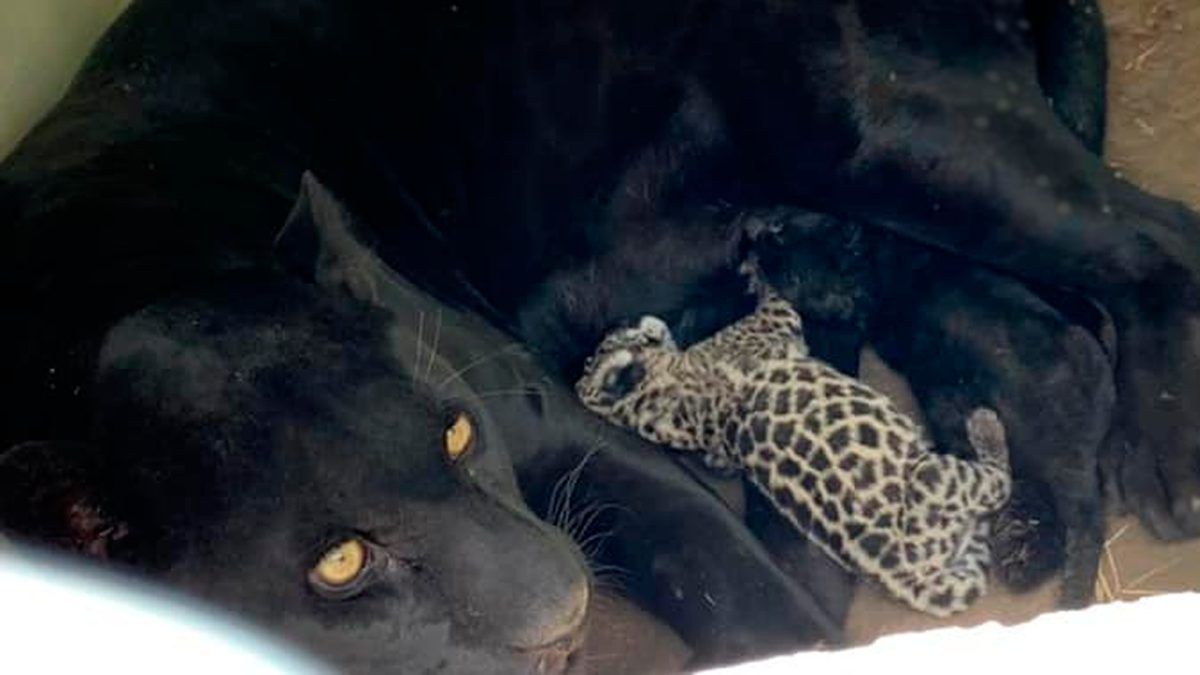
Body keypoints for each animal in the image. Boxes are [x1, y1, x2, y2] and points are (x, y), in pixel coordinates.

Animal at [576, 279, 1014, 617]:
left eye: (608, 334)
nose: (625, 317)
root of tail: (902, 574)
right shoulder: (771, 323)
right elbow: (778, 297)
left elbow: (721, 461)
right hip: (934, 475)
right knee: (999, 483)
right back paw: (985, 426)